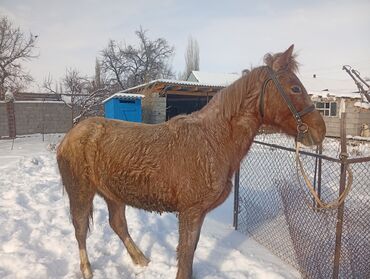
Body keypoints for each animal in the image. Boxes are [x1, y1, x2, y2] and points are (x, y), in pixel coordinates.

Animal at [56, 44, 326, 278]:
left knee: (117, 224)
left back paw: (141, 259)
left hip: (113, 193)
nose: (319, 130)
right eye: (295, 88)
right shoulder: (190, 211)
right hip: (81, 192)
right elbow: (185, 256)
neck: (212, 140)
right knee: (80, 228)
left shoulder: (199, 212)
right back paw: (88, 270)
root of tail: (70, 135)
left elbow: (191, 252)